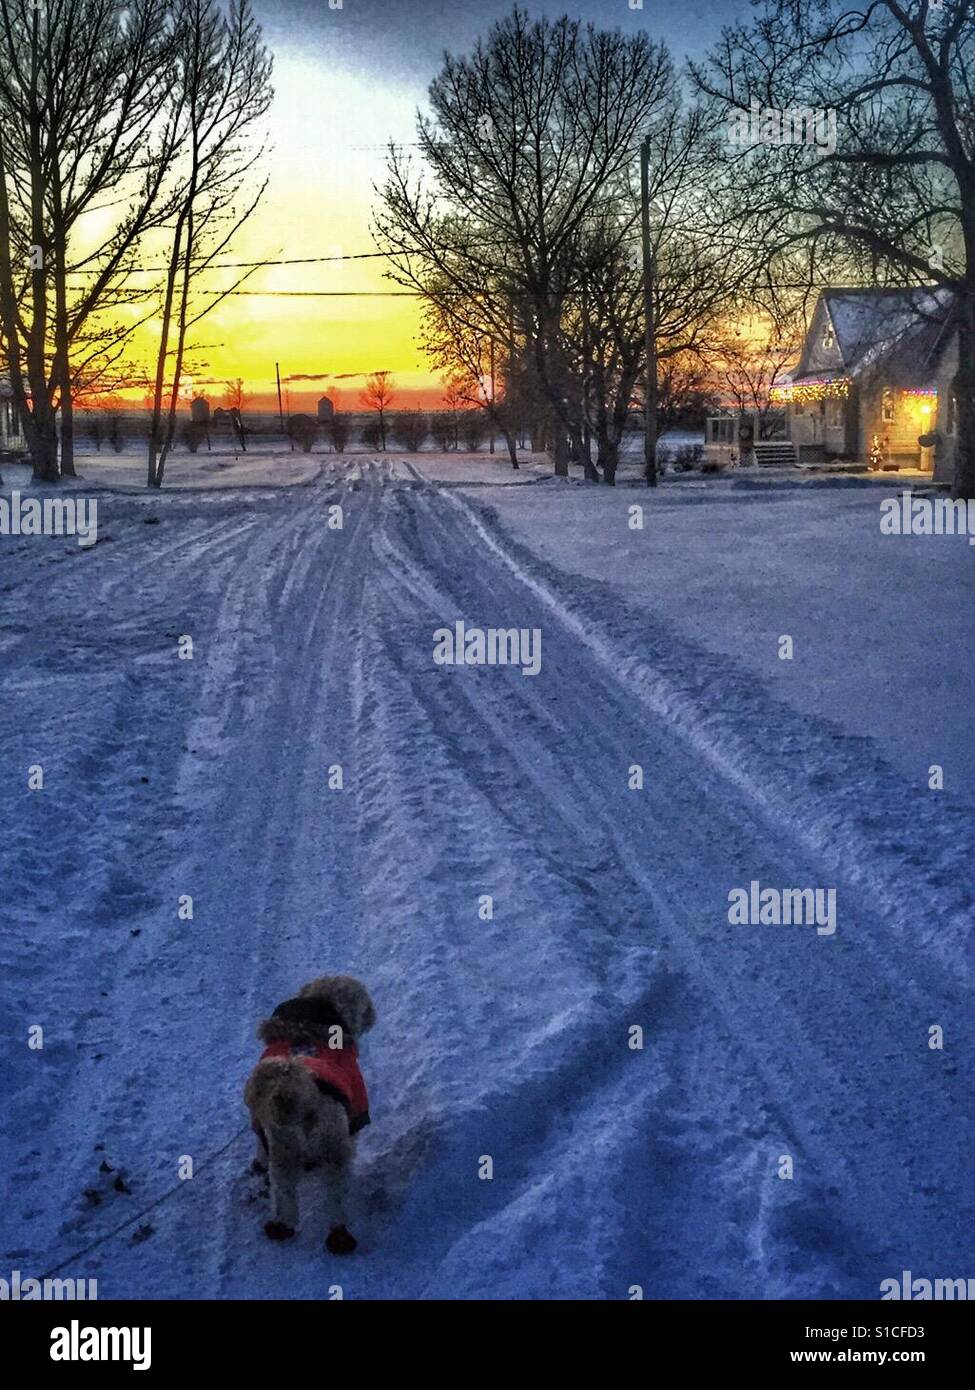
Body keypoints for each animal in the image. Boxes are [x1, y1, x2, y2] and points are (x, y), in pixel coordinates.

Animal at [244, 973, 375, 1256]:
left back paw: (281, 1228)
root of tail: (298, 1098)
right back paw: (339, 1236)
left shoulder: (263, 1126)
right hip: (331, 1149)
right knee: (335, 1198)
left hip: (283, 1154)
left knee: (285, 1197)